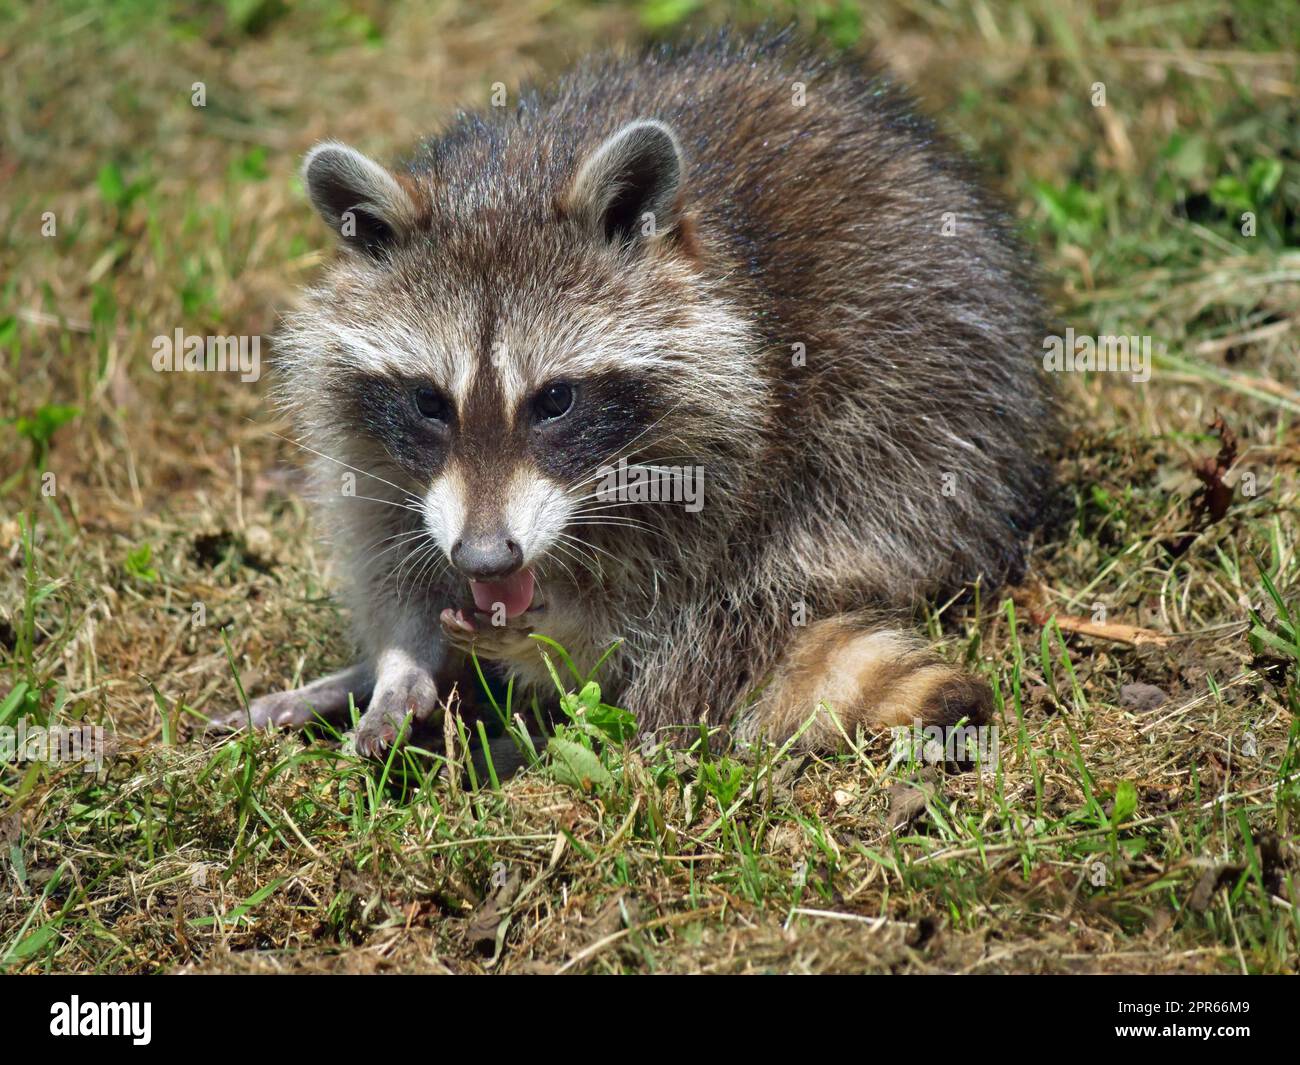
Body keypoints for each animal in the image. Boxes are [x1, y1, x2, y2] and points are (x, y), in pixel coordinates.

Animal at [221, 31, 1053, 758]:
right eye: (430, 401)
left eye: (555, 399)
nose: (486, 558)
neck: (512, 176)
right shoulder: (371, 444)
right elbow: (385, 538)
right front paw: (402, 657)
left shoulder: (743, 438)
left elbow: (687, 603)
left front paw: (572, 645)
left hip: (931, 406)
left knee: (785, 568)